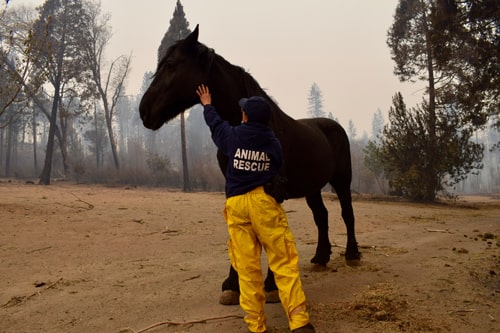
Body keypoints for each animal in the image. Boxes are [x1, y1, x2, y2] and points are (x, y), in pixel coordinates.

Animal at [139, 24, 362, 302]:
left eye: (171, 64)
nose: (144, 111)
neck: (248, 129)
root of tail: (334, 126)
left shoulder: (273, 189)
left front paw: (271, 285)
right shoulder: (234, 185)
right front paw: (232, 285)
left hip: (342, 180)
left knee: (347, 213)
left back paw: (352, 255)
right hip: (312, 187)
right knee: (321, 216)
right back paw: (320, 258)